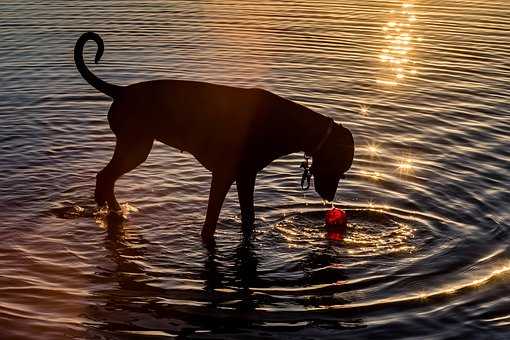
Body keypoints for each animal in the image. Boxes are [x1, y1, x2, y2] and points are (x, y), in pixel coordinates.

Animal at [74, 32, 354, 242]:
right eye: (339, 170)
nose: (330, 200)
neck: (289, 122)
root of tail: (120, 92)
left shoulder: (245, 177)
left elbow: (248, 216)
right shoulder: (224, 175)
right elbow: (211, 219)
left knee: (104, 178)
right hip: (136, 148)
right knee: (105, 177)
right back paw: (114, 211)